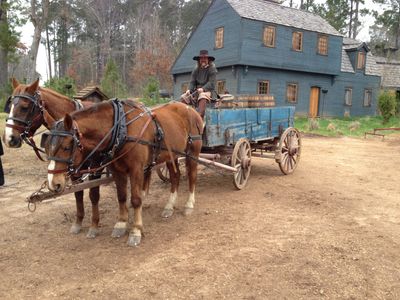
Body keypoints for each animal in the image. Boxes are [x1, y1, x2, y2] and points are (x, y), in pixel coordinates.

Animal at [1, 78, 101, 238]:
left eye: (24, 107)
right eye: (10, 106)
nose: (9, 139)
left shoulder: (96, 167)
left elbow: (93, 194)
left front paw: (94, 225)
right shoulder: (73, 169)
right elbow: (78, 193)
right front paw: (78, 222)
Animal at [43, 100, 203, 246]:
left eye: (66, 147)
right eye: (46, 146)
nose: (53, 183)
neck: (122, 128)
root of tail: (190, 109)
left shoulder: (136, 169)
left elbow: (136, 199)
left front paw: (136, 230)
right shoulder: (117, 170)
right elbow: (121, 197)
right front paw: (121, 223)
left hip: (192, 151)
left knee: (192, 176)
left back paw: (189, 204)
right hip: (172, 154)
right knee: (175, 176)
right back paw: (169, 206)